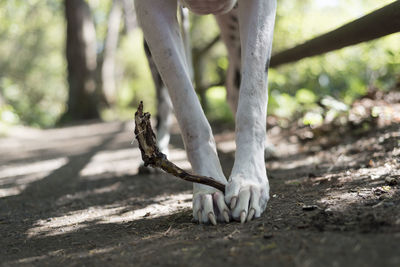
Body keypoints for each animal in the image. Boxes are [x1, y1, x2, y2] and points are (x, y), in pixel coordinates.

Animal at [134, 0, 276, 225]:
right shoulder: (151, 11)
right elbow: (187, 109)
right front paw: (207, 190)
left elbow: (253, 94)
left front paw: (249, 181)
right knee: (164, 101)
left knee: (237, 86)